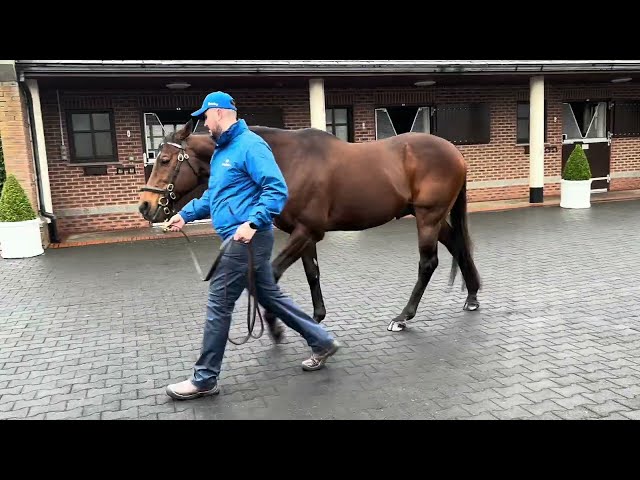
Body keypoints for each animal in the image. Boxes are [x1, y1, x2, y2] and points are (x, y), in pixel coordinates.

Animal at [140, 118, 480, 340]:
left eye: (166, 159)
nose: (145, 206)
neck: (287, 160)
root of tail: (455, 152)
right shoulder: (302, 234)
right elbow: (312, 273)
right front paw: (315, 318)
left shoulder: (307, 231)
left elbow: (272, 274)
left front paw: (276, 326)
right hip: (431, 218)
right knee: (457, 245)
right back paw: (472, 296)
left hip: (428, 217)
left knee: (428, 263)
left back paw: (403, 317)